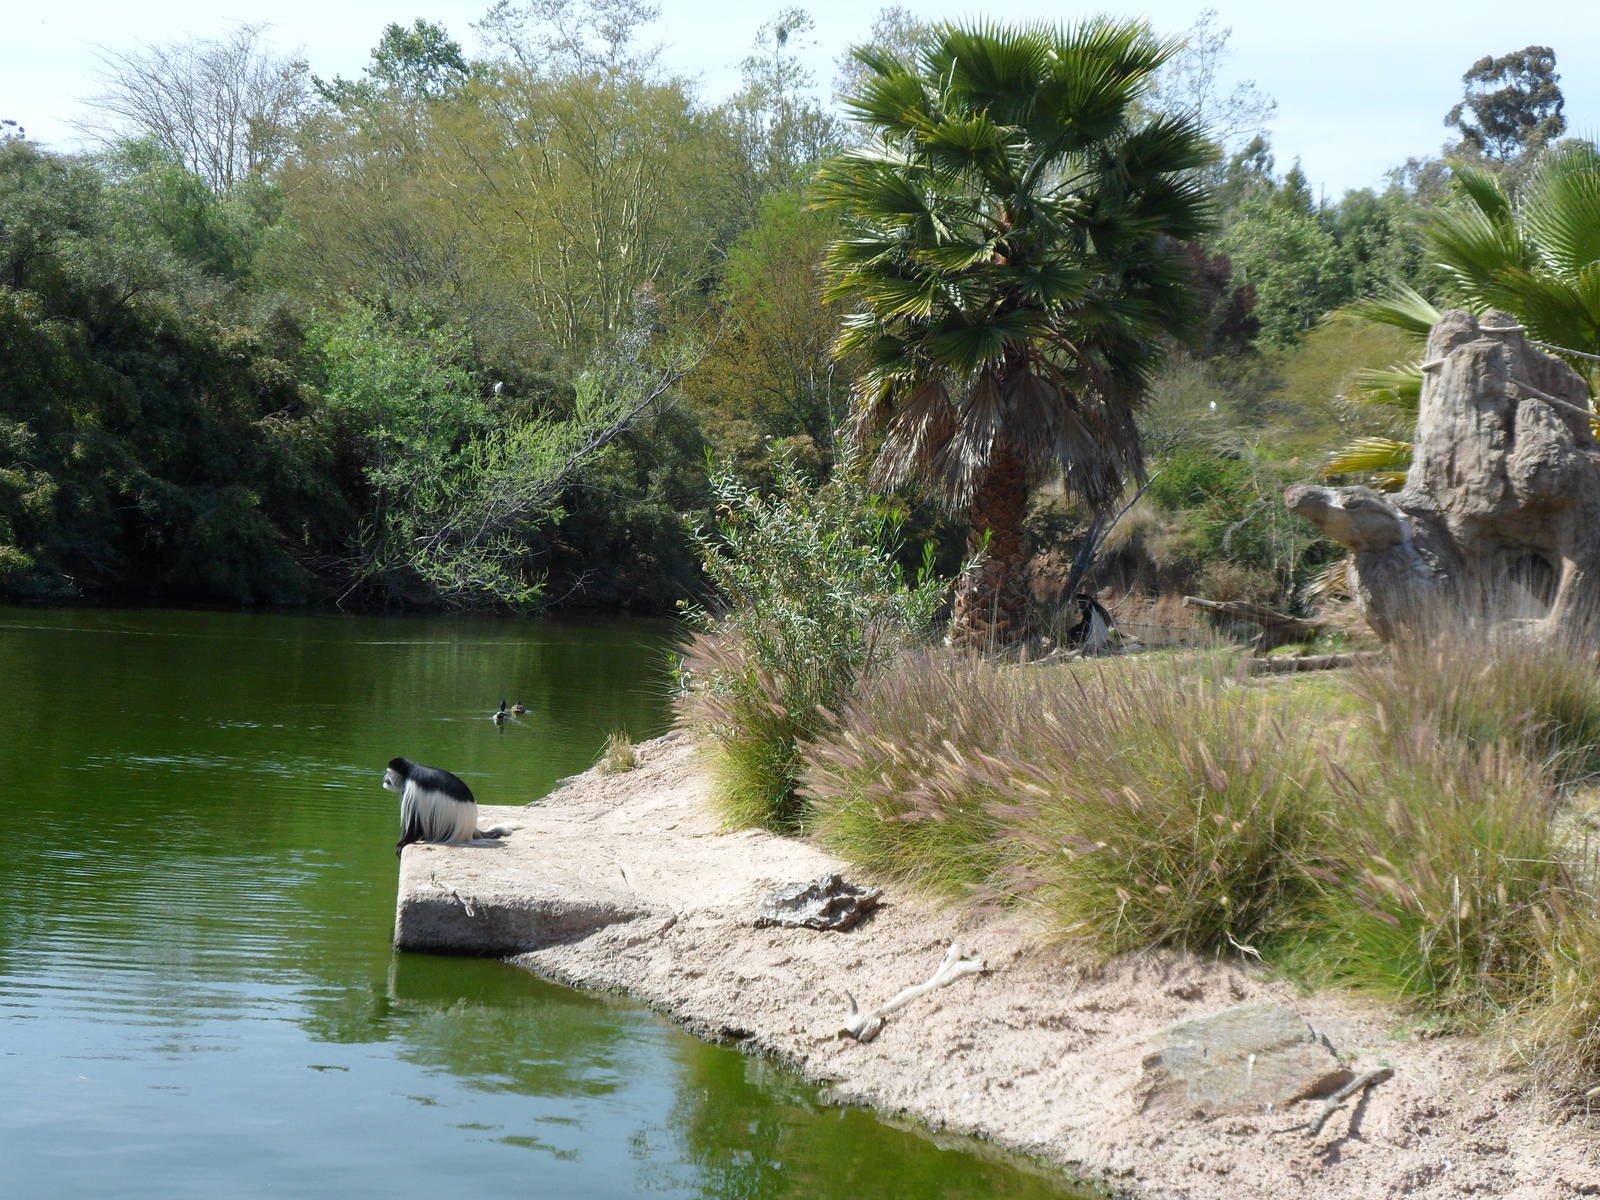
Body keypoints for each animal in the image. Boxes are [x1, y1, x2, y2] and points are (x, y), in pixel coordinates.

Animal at [382, 757, 517, 856]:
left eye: (388, 773)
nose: (384, 778)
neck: (409, 771)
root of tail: (468, 831)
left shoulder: (412, 789)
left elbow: (413, 823)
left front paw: (403, 843)